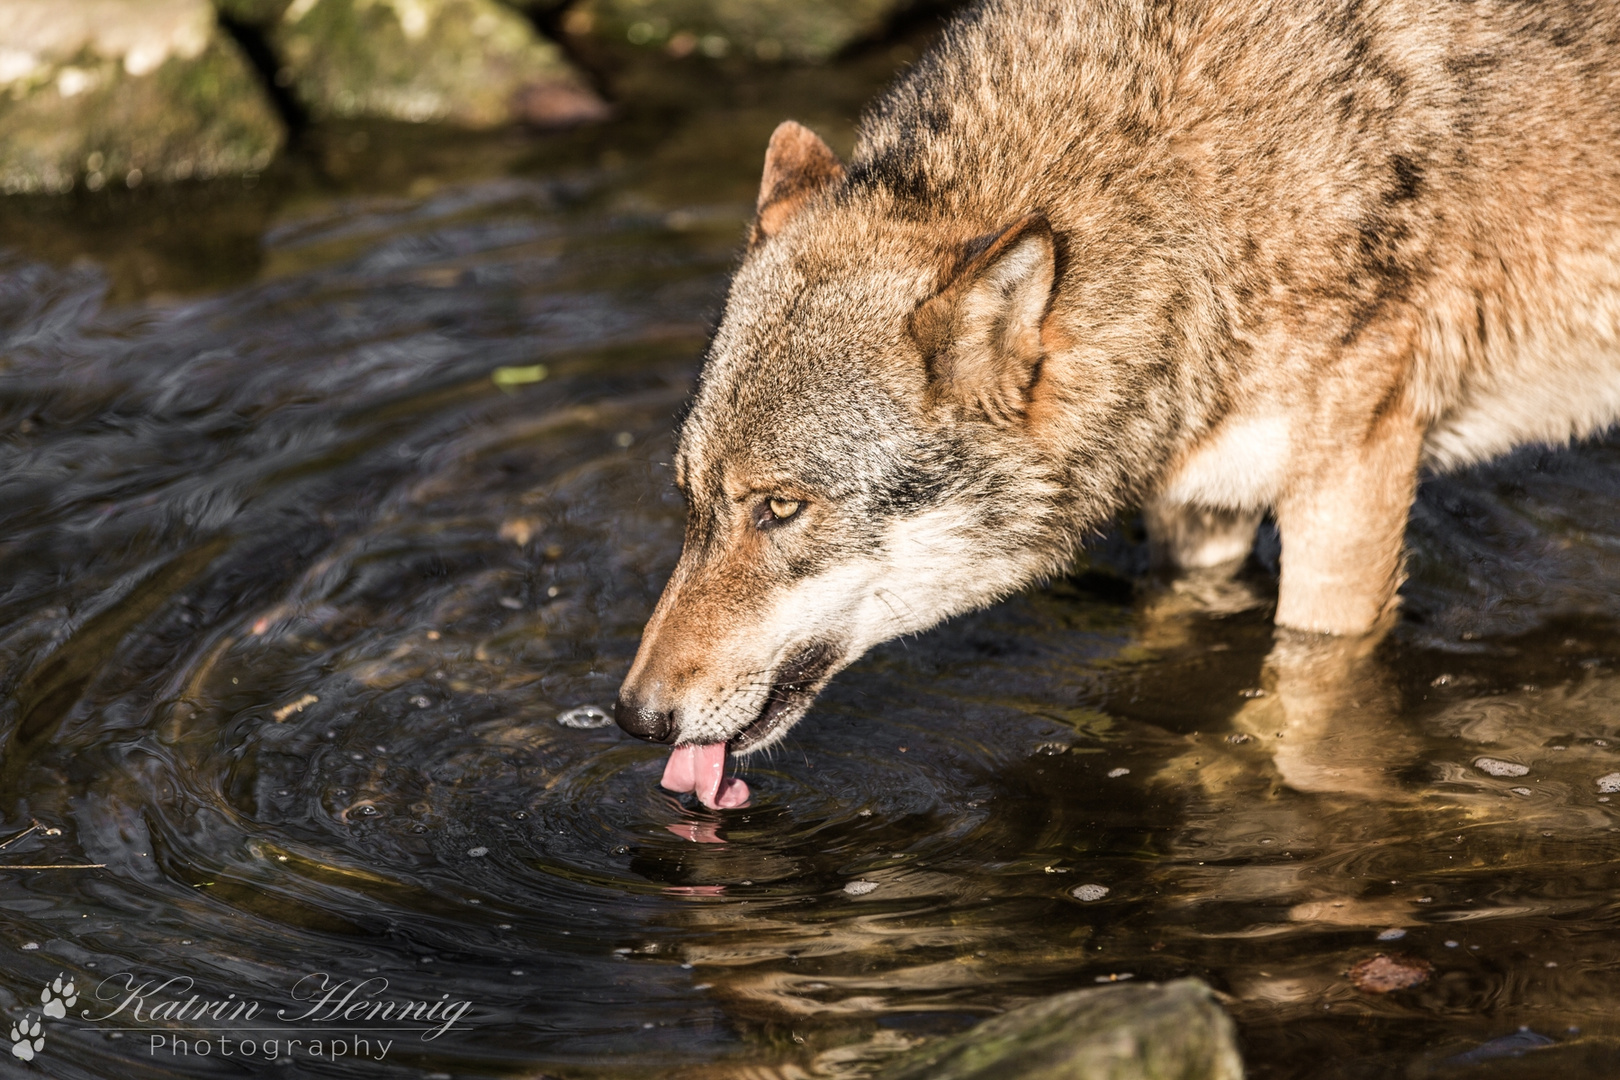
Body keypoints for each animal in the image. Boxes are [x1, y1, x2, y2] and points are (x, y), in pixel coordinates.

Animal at [609, 0, 1620, 803]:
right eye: (688, 501)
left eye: (781, 509)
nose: (634, 718)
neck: (1194, 203)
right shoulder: (1201, 499)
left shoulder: (1351, 491)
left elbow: (1304, 702)